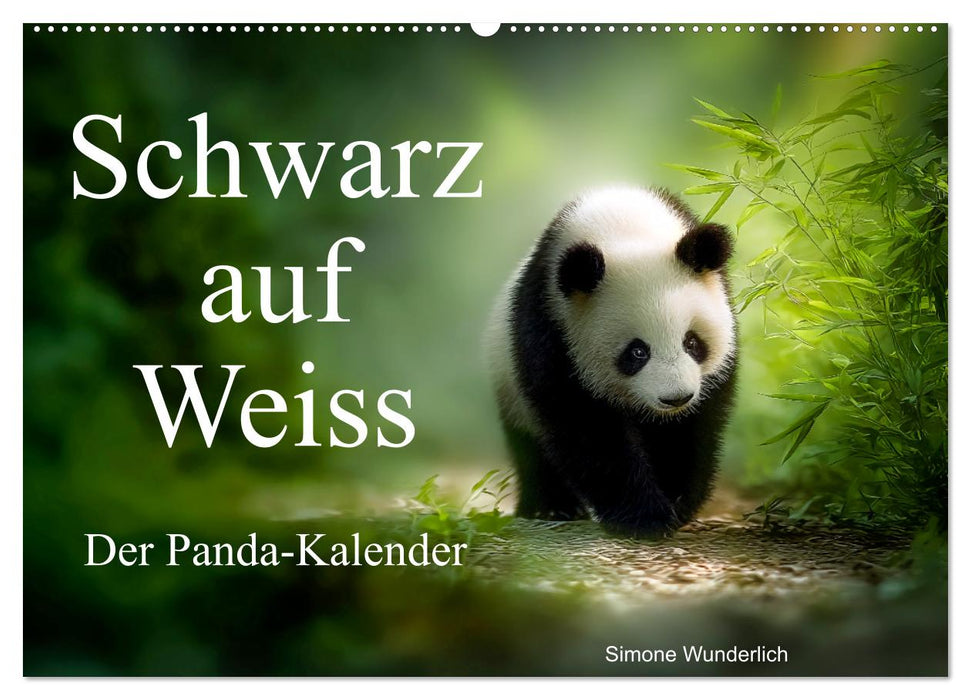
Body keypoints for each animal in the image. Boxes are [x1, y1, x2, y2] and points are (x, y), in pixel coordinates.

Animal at [486, 185, 737, 537]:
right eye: (637, 352)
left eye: (692, 342)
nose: (676, 398)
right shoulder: (552, 323)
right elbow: (585, 426)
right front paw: (645, 517)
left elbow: (690, 428)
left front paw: (678, 503)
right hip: (510, 387)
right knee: (532, 448)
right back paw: (551, 507)